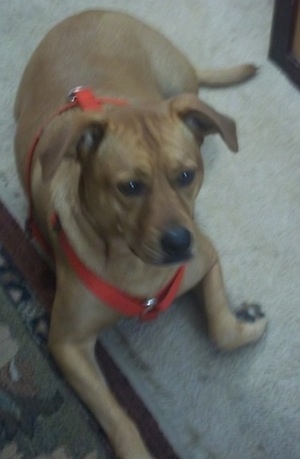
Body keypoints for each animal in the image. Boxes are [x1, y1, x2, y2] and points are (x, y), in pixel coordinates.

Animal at [14, 10, 268, 459]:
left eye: (187, 175)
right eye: (130, 186)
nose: (180, 243)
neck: (134, 266)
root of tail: (86, 13)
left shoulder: (207, 257)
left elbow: (221, 331)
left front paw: (246, 320)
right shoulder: (67, 344)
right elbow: (118, 419)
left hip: (178, 82)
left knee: (194, 85)